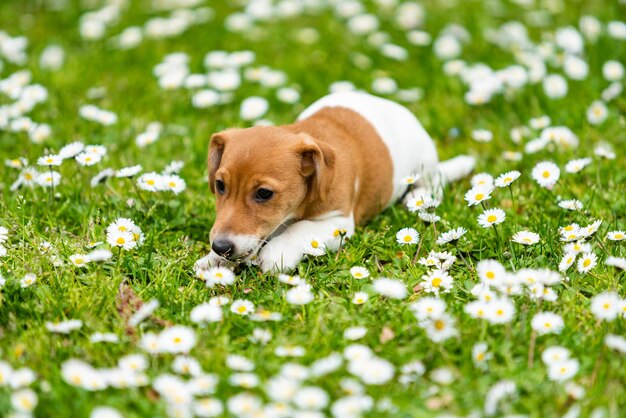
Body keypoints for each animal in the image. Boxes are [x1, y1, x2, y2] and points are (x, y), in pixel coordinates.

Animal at [196, 91, 472, 272]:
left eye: (264, 193)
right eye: (220, 186)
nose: (220, 247)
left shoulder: (338, 222)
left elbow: (300, 229)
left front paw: (278, 252)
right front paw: (212, 260)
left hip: (424, 164)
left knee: (435, 182)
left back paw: (418, 197)